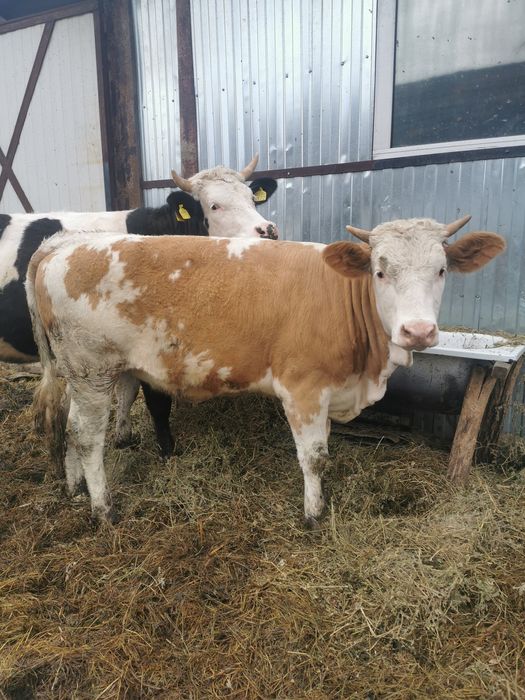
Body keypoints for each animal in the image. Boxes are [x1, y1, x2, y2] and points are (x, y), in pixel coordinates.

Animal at [0, 156, 278, 454]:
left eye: (252, 198)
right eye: (214, 206)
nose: (269, 231)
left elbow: (127, 390)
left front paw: (123, 435)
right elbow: (156, 402)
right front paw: (167, 449)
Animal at [26, 216, 505, 526]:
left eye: (441, 270)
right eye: (380, 271)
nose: (418, 330)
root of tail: (63, 244)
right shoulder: (303, 388)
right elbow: (314, 457)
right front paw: (313, 514)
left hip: (78, 374)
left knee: (70, 428)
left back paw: (75, 489)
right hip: (92, 370)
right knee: (88, 437)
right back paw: (103, 508)